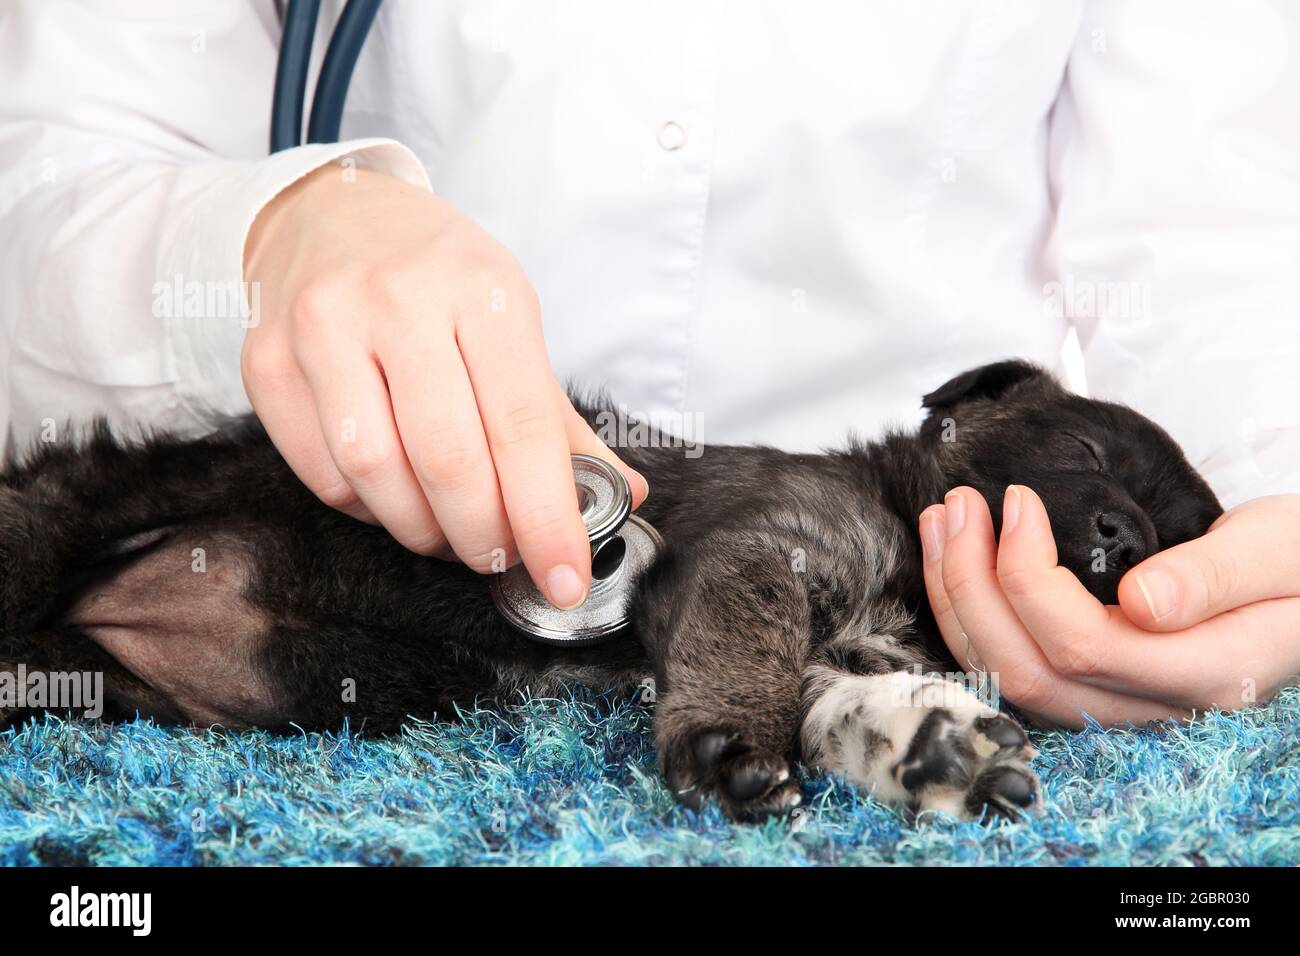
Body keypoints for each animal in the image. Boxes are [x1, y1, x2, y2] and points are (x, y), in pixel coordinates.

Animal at [0, 358, 1216, 822]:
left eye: (1176, 544)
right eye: (1084, 452)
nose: (1124, 535)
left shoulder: (833, 642)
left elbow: (835, 699)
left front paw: (929, 746)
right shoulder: (760, 553)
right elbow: (748, 643)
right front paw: (730, 745)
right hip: (83, 512)